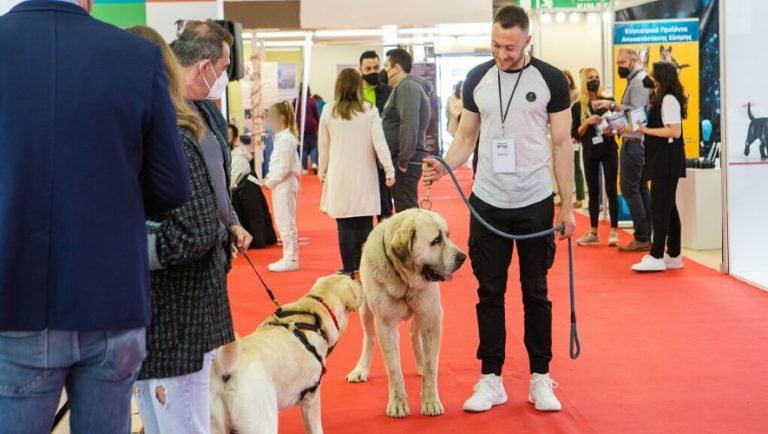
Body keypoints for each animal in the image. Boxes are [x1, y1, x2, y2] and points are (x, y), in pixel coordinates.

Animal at [210, 274, 364, 434]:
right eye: (351, 280)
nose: (357, 279)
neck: (315, 310)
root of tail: (224, 372)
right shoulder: (311, 396)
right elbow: (316, 428)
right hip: (262, 420)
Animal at [348, 209, 468, 418]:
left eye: (448, 235)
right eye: (436, 240)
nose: (463, 257)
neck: (404, 281)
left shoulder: (432, 316)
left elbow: (431, 366)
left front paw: (430, 401)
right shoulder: (385, 324)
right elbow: (394, 368)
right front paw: (398, 403)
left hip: (422, 313)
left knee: (414, 335)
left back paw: (420, 365)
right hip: (366, 311)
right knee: (369, 338)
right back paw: (361, 368)